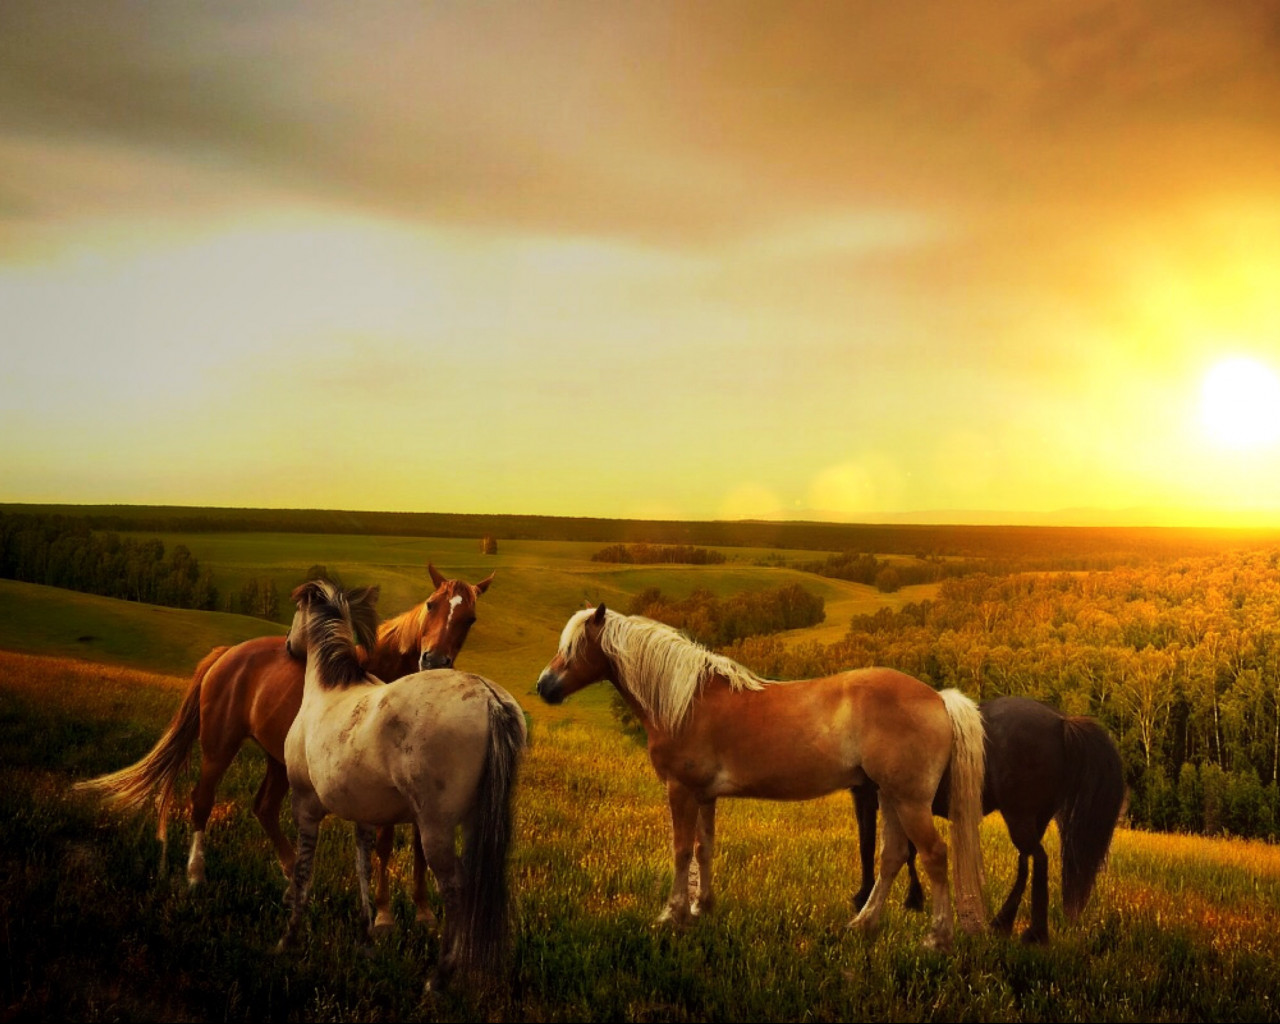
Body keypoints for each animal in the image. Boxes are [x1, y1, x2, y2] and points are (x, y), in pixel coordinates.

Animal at [75, 563, 493, 931]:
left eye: (470, 619)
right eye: (431, 605)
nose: (433, 661)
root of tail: (227, 653)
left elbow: (420, 844)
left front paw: (424, 913)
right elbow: (387, 843)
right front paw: (385, 917)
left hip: (278, 760)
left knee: (264, 807)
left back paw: (296, 882)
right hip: (219, 746)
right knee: (202, 800)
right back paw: (197, 875)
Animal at [279, 579, 525, 990]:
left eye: (296, 612)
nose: (288, 645)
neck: (328, 690)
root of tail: (489, 699)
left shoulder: (306, 807)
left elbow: (302, 872)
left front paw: (289, 938)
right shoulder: (363, 817)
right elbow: (363, 867)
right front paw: (367, 936)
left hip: (437, 829)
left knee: (455, 888)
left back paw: (439, 977)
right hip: (476, 823)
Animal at [535, 604, 988, 951]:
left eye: (574, 648)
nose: (544, 686)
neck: (687, 701)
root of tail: (938, 698)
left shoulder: (681, 790)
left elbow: (681, 851)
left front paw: (672, 915)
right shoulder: (705, 796)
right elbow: (703, 849)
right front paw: (702, 908)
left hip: (910, 801)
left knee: (934, 856)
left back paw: (937, 937)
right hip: (889, 796)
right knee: (892, 856)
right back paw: (863, 925)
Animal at [852, 695, 1126, 943]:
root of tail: (1062, 722)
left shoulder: (870, 797)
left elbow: (869, 845)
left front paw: (864, 898)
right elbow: (908, 851)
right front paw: (913, 899)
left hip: (1019, 816)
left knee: (1038, 859)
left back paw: (1034, 933)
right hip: (1033, 819)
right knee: (1025, 861)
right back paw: (1003, 922)